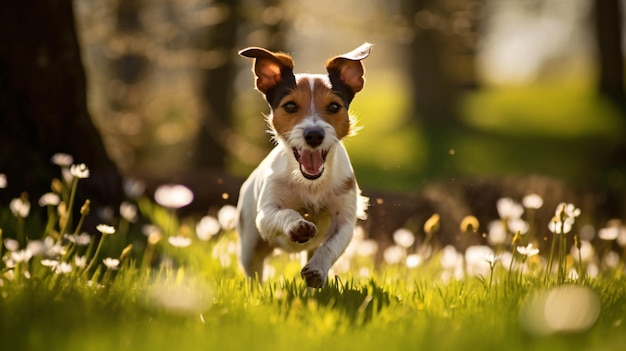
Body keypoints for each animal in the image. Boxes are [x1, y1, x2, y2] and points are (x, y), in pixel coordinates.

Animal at [235, 42, 370, 288]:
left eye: (334, 106)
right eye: (290, 106)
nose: (314, 135)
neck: (311, 184)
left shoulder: (345, 220)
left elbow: (331, 245)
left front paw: (317, 269)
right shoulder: (266, 214)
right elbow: (284, 213)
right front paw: (298, 225)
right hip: (249, 243)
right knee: (254, 271)